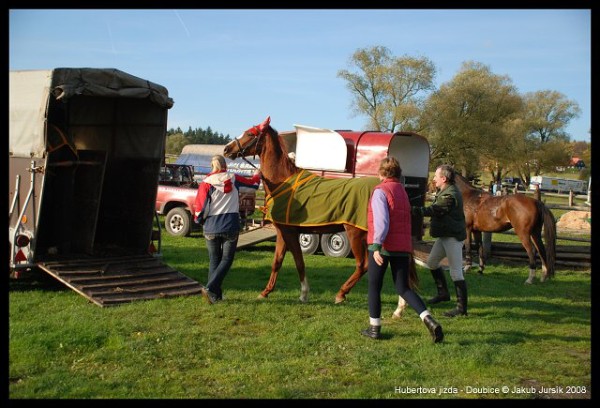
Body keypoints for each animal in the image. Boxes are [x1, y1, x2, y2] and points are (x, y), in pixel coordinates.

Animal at [221, 116, 418, 304]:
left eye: (250, 133)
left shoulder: (290, 232)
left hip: (355, 233)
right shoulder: (282, 232)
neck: (283, 181)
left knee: (363, 264)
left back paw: (341, 294)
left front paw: (304, 294)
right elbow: (277, 262)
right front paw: (265, 292)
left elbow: (299, 262)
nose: (226, 149)